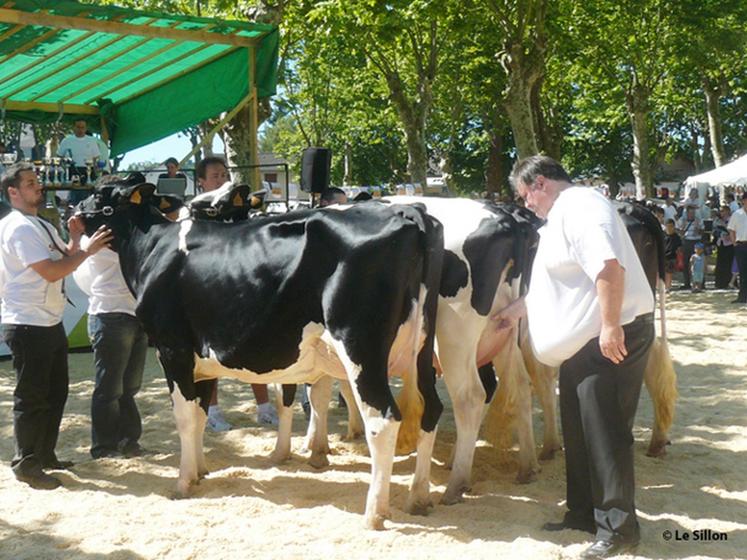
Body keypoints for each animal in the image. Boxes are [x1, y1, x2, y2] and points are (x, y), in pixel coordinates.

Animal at [76, 176, 444, 528]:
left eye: (101, 194)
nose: (74, 210)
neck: (153, 247)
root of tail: (408, 212)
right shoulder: (202, 360)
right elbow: (199, 415)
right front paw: (200, 471)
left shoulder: (173, 349)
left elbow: (184, 417)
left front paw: (183, 482)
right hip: (423, 349)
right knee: (432, 409)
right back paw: (419, 497)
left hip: (360, 347)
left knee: (383, 419)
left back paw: (374, 514)